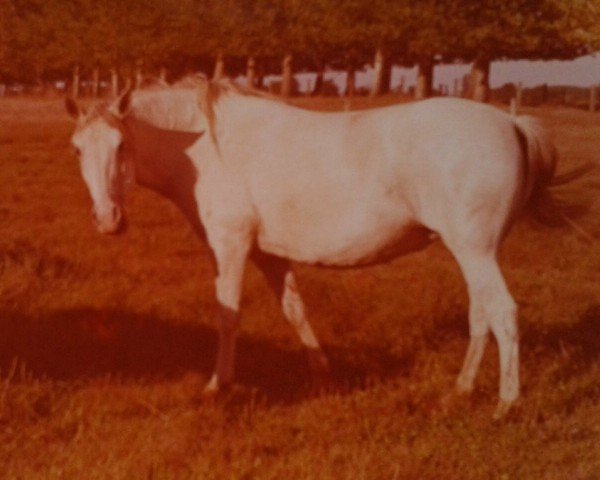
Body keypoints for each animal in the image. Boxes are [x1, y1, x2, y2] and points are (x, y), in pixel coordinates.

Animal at [67, 77, 564, 418]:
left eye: (121, 144)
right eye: (77, 149)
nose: (108, 219)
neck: (207, 147)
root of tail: (511, 121)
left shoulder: (230, 246)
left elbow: (228, 316)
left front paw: (217, 385)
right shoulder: (268, 254)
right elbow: (294, 308)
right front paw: (323, 375)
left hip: (475, 250)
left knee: (503, 313)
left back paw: (506, 404)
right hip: (472, 253)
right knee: (481, 315)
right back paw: (460, 390)